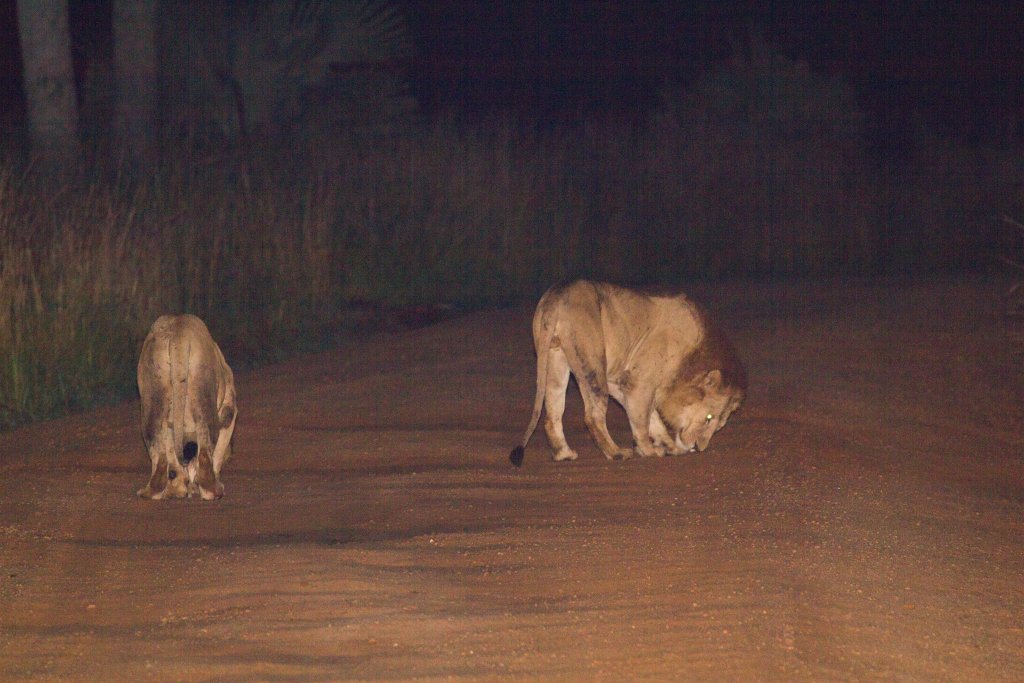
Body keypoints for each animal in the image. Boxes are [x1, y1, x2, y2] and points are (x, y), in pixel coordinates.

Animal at [136, 314, 237, 500]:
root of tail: (179, 334)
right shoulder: (229, 408)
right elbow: (219, 451)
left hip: (152, 392)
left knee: (158, 449)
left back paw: (153, 492)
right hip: (203, 392)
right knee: (205, 448)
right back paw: (212, 491)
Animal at [510, 281, 745, 467]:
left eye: (719, 426)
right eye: (708, 418)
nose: (699, 447)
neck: (691, 358)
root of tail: (556, 297)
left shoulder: (620, 380)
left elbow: (652, 418)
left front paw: (669, 446)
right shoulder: (639, 383)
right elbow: (642, 419)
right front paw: (648, 450)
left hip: (555, 360)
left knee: (553, 415)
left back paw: (563, 454)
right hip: (593, 364)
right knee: (593, 416)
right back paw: (616, 453)